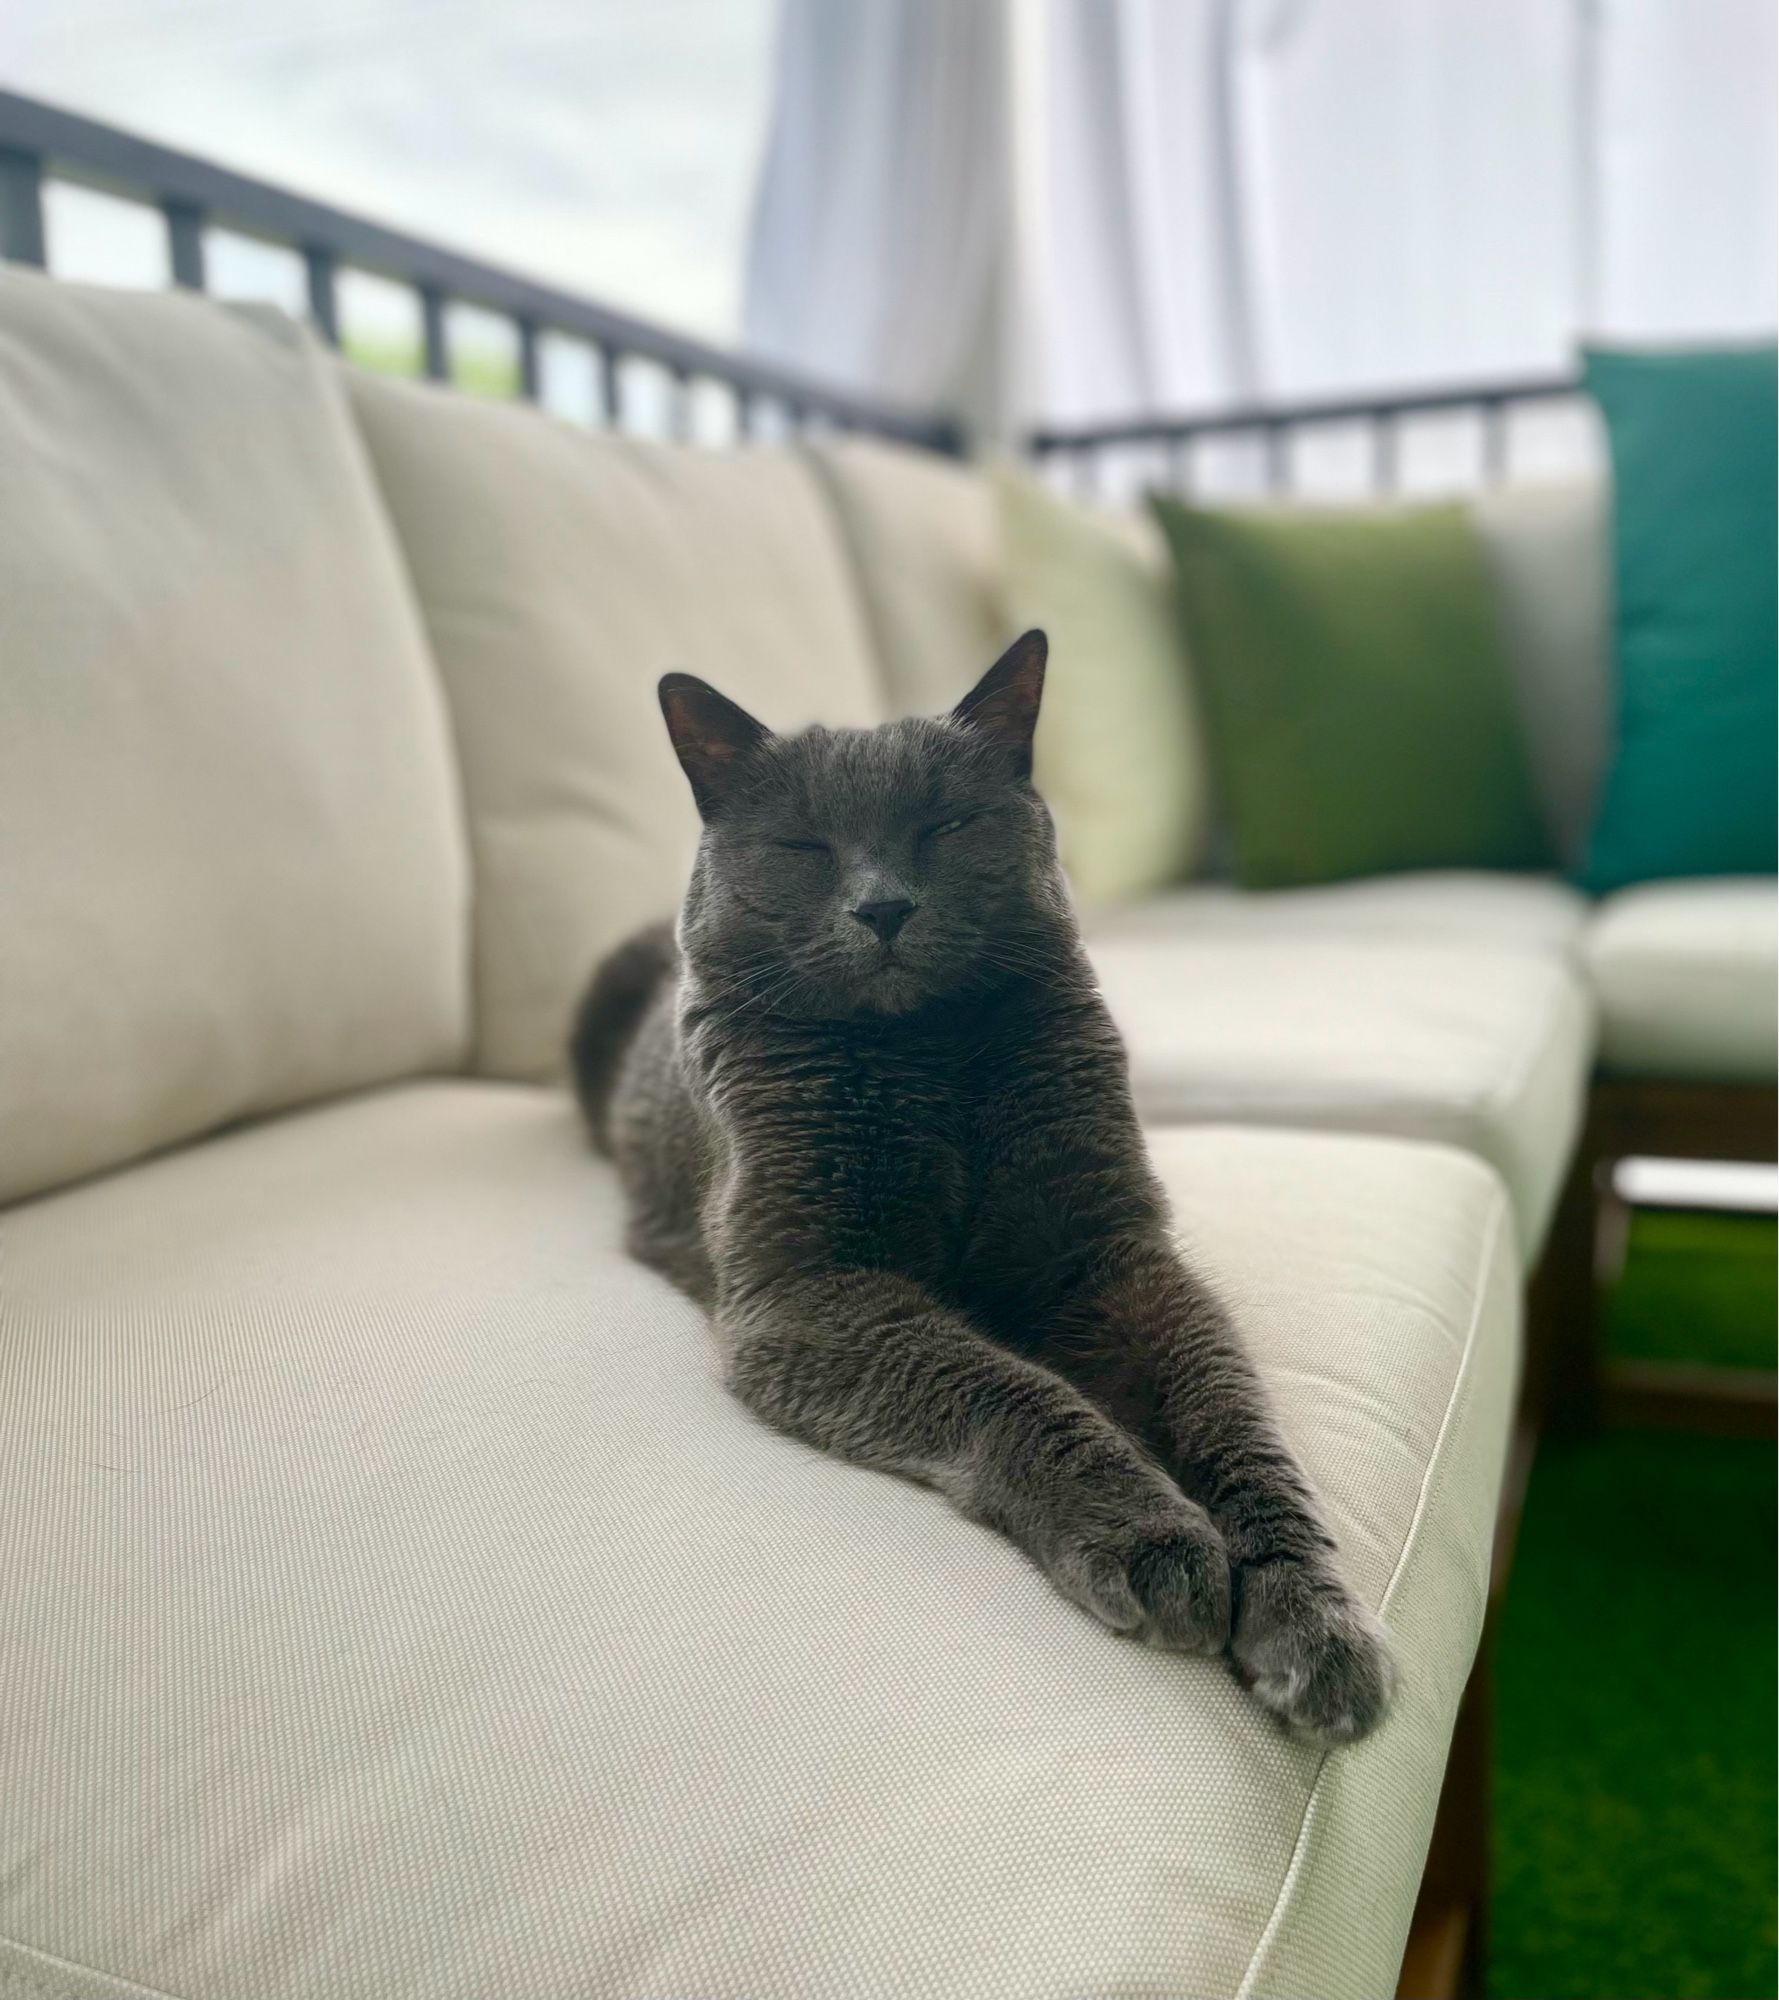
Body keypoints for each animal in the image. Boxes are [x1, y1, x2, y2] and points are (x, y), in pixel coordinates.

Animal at [575, 632, 1391, 1744]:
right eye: (804, 845)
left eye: (946, 825)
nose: (882, 905)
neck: (928, 1063)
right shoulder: (803, 1288)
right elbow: (1003, 1383)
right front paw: (1152, 1534)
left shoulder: (1113, 1256)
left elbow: (1234, 1421)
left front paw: (1314, 1619)